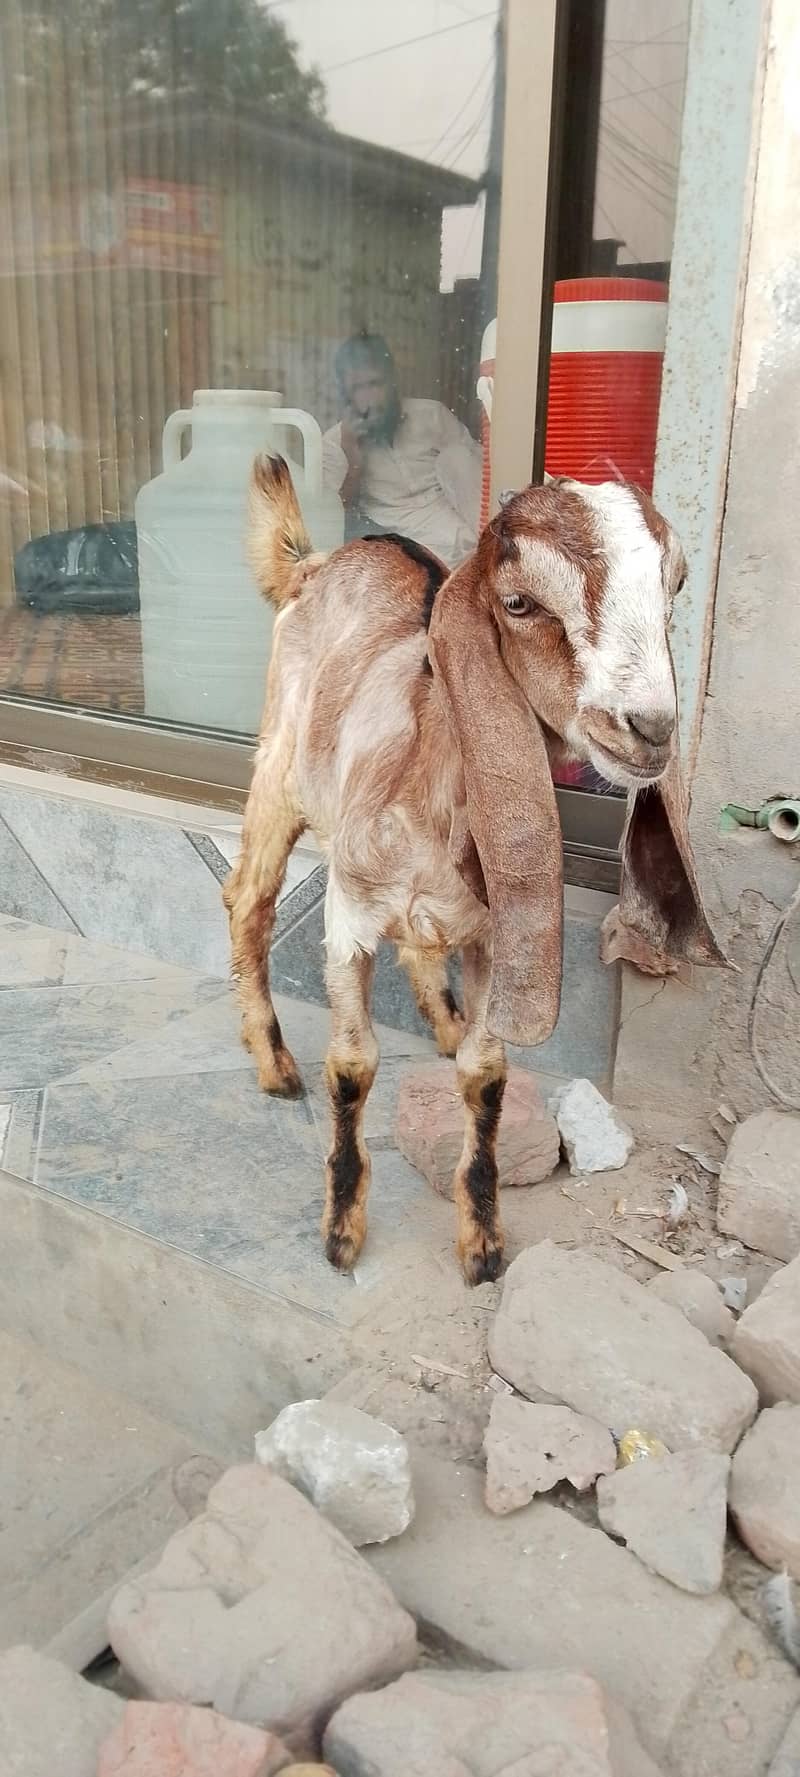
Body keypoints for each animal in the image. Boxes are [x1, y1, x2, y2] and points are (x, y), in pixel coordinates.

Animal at [224, 457, 724, 1285]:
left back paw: (442, 1020)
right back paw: (273, 1062)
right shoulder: (347, 915)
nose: (650, 729)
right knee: (249, 901)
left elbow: (487, 1072)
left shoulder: (495, 935)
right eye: (518, 602)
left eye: (675, 587)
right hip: (278, 767)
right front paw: (342, 1227)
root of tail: (320, 560)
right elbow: (352, 1065)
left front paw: (483, 1241)